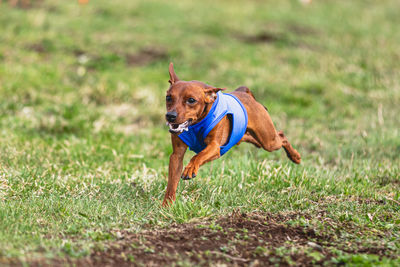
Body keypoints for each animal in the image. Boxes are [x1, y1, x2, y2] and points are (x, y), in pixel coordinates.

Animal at [162, 62, 300, 207]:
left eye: (191, 100)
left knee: (282, 136)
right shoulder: (176, 155)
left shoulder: (215, 147)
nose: (170, 116)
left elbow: (197, 156)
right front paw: (167, 205)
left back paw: (295, 157)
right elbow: (172, 182)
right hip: (251, 138)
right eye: (168, 97)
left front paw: (190, 168)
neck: (195, 124)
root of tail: (244, 92)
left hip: (268, 141)